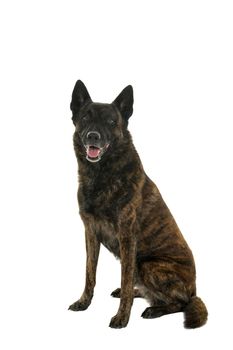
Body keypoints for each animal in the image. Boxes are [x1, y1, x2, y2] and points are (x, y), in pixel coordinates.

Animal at [68, 79, 208, 328]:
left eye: (111, 122)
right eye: (85, 118)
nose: (93, 136)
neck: (100, 175)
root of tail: (195, 290)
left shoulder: (127, 236)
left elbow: (125, 279)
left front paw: (122, 317)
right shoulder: (90, 233)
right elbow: (89, 274)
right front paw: (84, 302)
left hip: (148, 264)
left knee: (180, 303)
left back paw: (154, 309)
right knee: (146, 291)